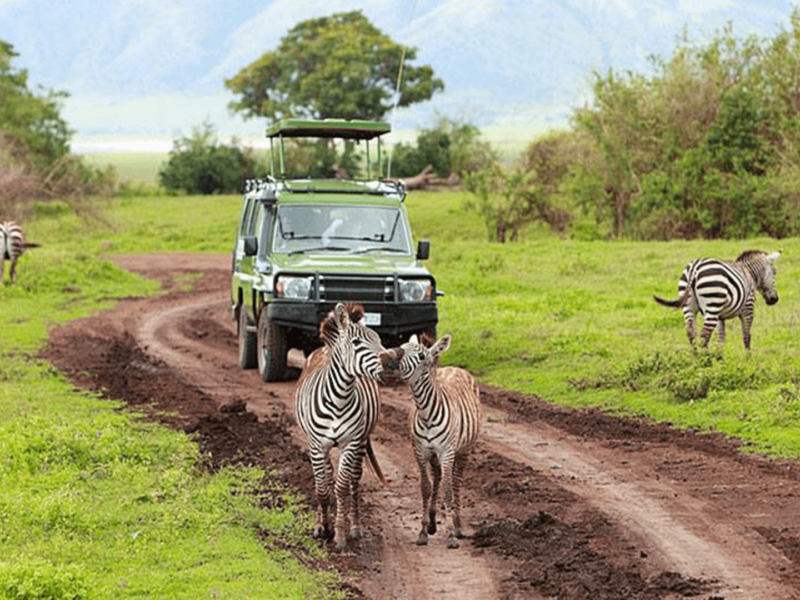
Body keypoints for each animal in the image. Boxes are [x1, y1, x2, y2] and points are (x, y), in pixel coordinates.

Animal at [292, 302, 396, 552]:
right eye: (357, 343)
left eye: (379, 339)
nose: (392, 363)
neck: (339, 398)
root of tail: (323, 348)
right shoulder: (316, 444)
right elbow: (322, 488)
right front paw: (322, 528)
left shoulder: (350, 442)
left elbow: (341, 487)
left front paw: (339, 535)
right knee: (328, 478)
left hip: (361, 442)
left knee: (353, 481)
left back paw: (354, 526)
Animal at [394, 332, 482, 548]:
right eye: (401, 347)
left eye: (421, 356)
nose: (391, 360)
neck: (426, 413)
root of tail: (455, 368)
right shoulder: (421, 452)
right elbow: (425, 488)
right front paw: (423, 531)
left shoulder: (446, 452)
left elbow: (448, 491)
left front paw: (451, 535)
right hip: (435, 456)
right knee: (438, 478)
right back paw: (434, 523)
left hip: (464, 449)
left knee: (456, 481)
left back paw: (458, 526)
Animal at [652, 250, 780, 352]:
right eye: (774, 272)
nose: (774, 299)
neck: (749, 273)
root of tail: (694, 269)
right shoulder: (748, 308)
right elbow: (746, 335)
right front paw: (748, 358)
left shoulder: (720, 316)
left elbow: (721, 337)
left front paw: (720, 358)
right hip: (712, 305)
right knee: (704, 335)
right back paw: (706, 361)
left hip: (689, 305)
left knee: (691, 332)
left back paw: (696, 357)